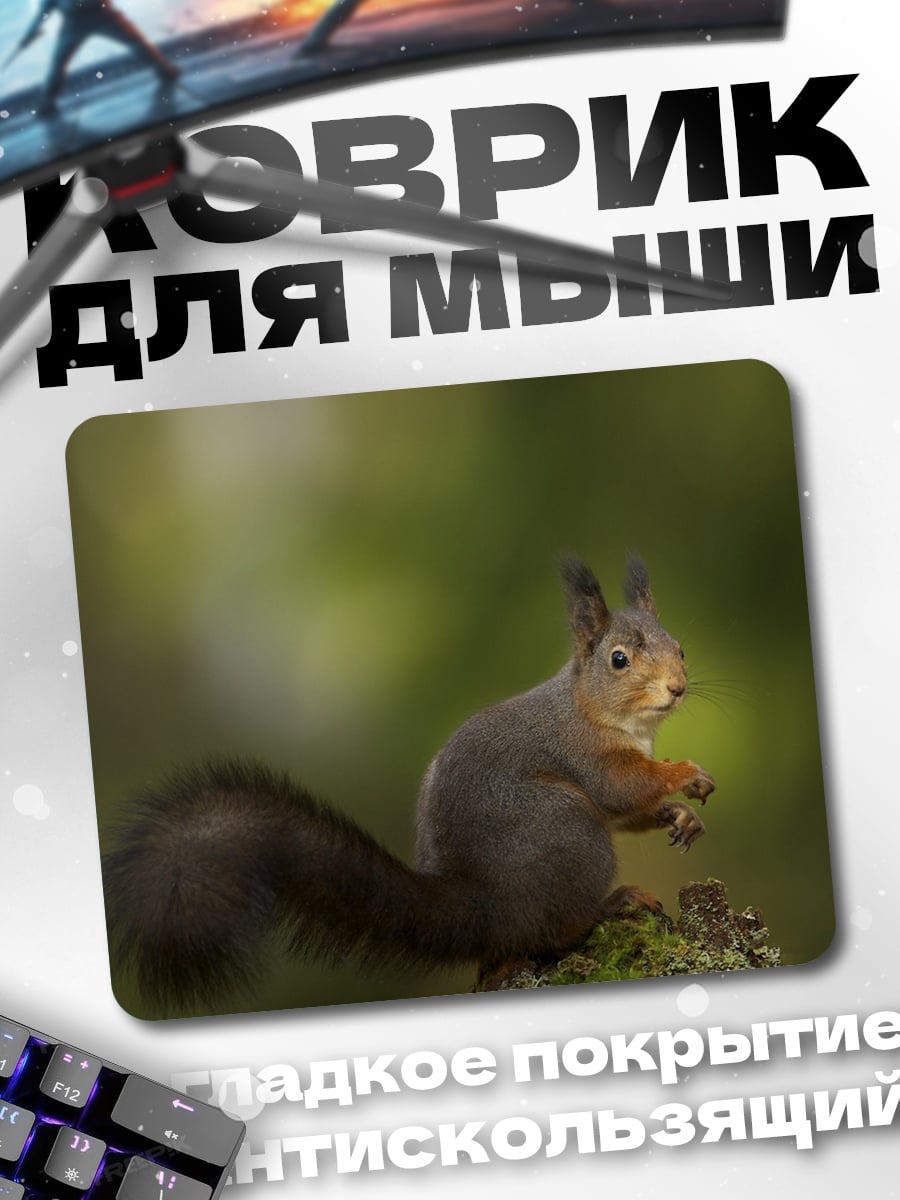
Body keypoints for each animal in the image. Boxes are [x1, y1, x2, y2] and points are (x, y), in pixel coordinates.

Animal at [103, 555, 715, 1010]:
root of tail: (485, 906)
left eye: (682, 648)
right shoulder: (584, 754)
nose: (677, 688)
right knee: (557, 929)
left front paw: (680, 814)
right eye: (619, 660)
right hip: (566, 830)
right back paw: (615, 902)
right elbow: (620, 789)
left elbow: (630, 809)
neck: (603, 713)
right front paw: (685, 775)